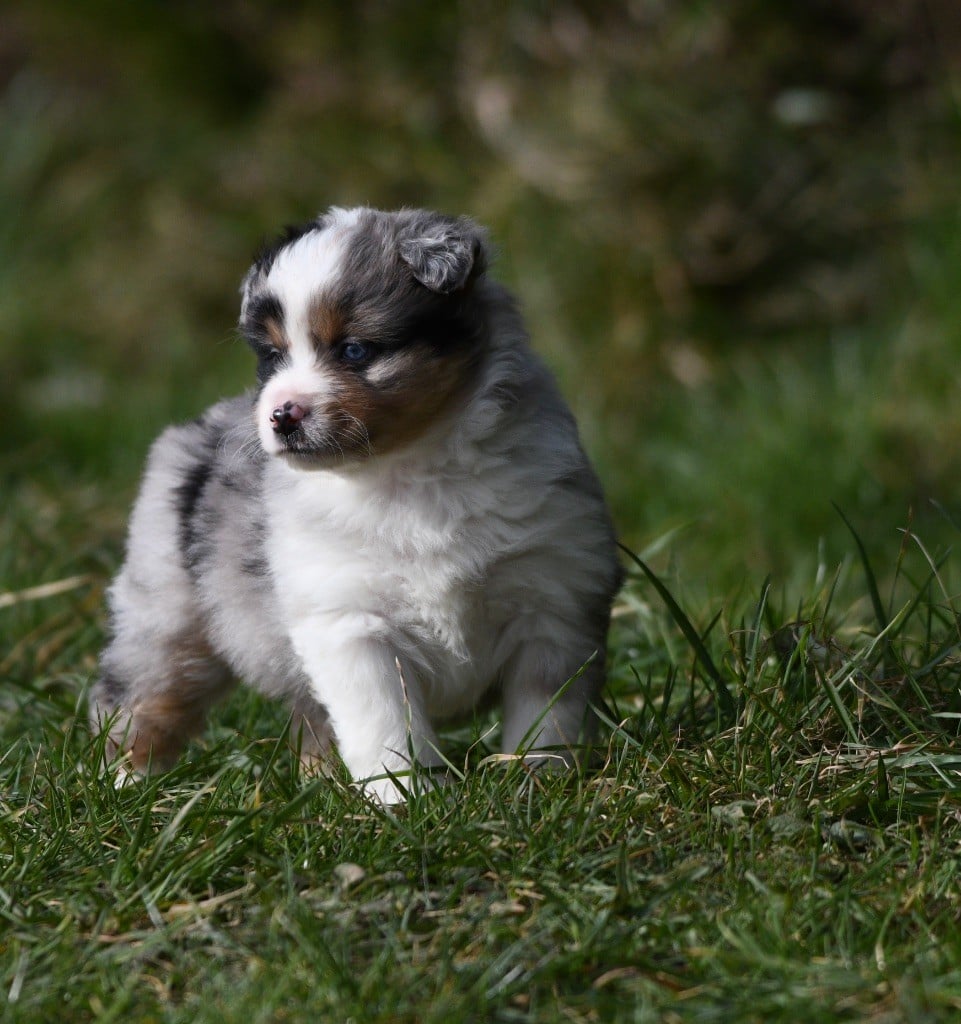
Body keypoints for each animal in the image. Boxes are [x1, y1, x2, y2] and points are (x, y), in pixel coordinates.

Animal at [93, 205, 622, 798]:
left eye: (354, 349)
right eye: (273, 356)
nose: (281, 414)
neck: (410, 470)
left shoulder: (553, 603)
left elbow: (546, 715)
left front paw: (541, 785)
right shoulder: (349, 624)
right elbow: (385, 724)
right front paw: (405, 798)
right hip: (167, 616)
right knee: (142, 694)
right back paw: (125, 783)